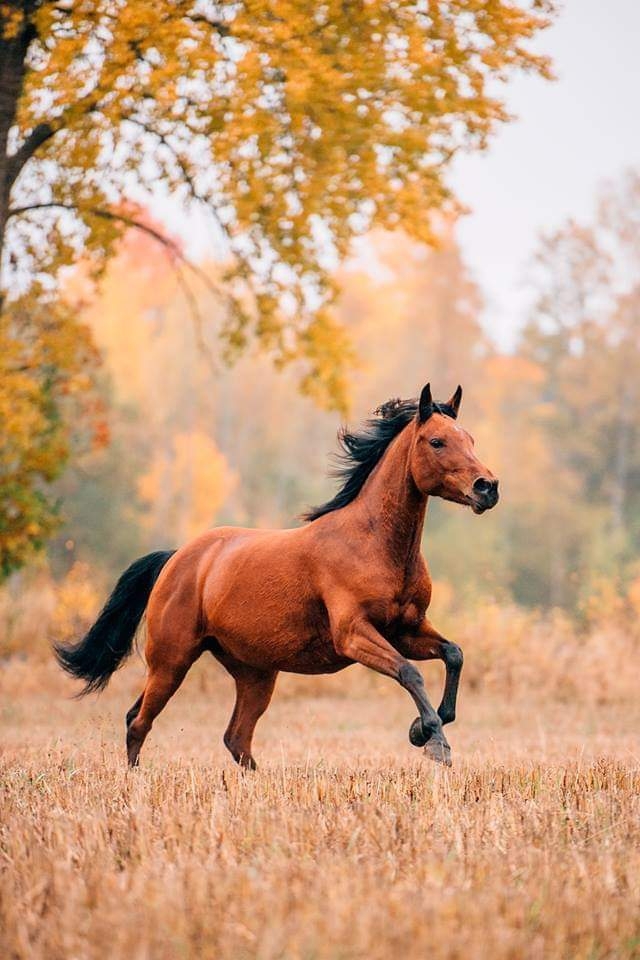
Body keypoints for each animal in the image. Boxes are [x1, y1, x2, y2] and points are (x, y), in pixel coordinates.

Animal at [55, 383, 499, 768]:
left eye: (471, 439)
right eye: (436, 441)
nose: (487, 487)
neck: (373, 544)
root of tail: (177, 558)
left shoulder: (406, 630)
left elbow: (454, 654)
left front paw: (422, 729)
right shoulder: (354, 634)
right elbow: (410, 672)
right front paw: (434, 742)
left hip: (255, 674)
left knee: (235, 737)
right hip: (170, 661)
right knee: (139, 721)